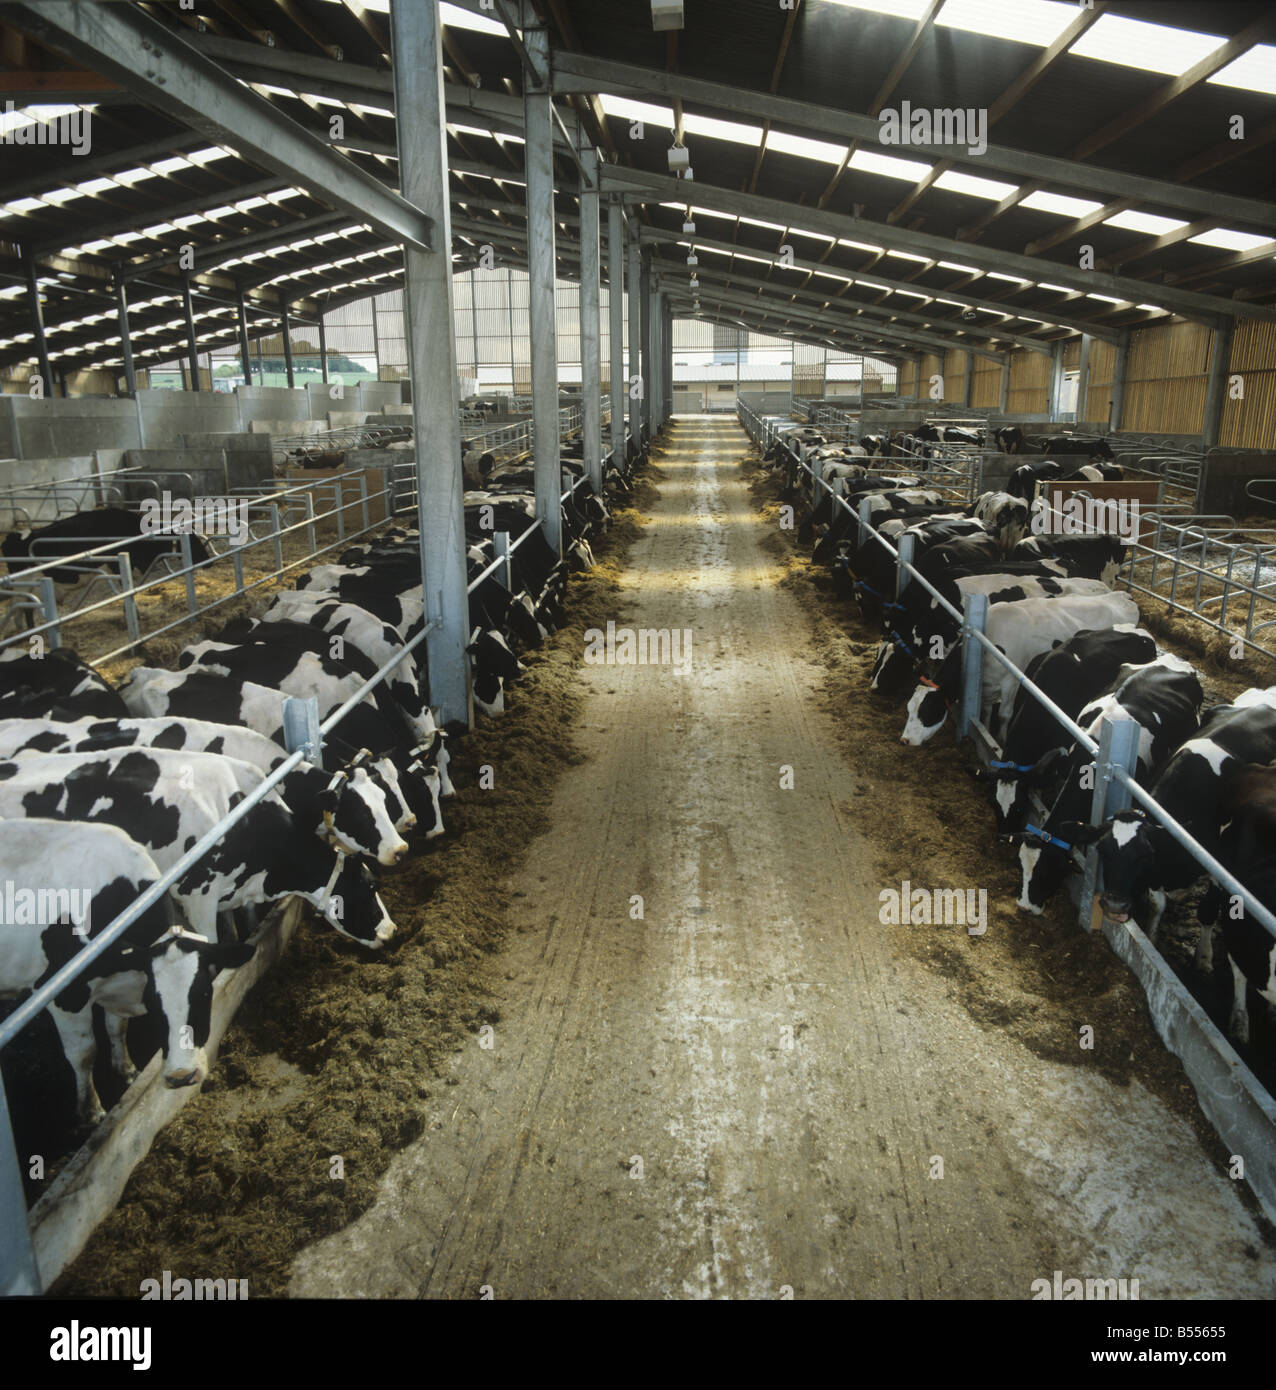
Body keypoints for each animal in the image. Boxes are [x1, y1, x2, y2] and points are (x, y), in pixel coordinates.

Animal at [0, 817, 257, 1123]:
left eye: (205, 994)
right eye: (154, 1003)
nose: (182, 1076)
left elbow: (116, 1027)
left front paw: (127, 1070)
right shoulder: (62, 995)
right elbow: (83, 1053)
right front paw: (92, 1110)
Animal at [906, 594, 1145, 756]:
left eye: (928, 710)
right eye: (909, 708)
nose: (905, 740)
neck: (987, 640)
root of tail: (1122, 596)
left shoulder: (1011, 681)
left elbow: (1004, 715)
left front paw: (1000, 739)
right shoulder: (987, 683)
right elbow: (985, 711)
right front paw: (985, 727)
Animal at [1067, 686, 1276, 956]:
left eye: (1144, 856)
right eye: (1103, 850)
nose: (1114, 905)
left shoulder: (1221, 869)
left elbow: (1207, 910)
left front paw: (1203, 956)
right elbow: (1157, 902)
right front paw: (1151, 935)